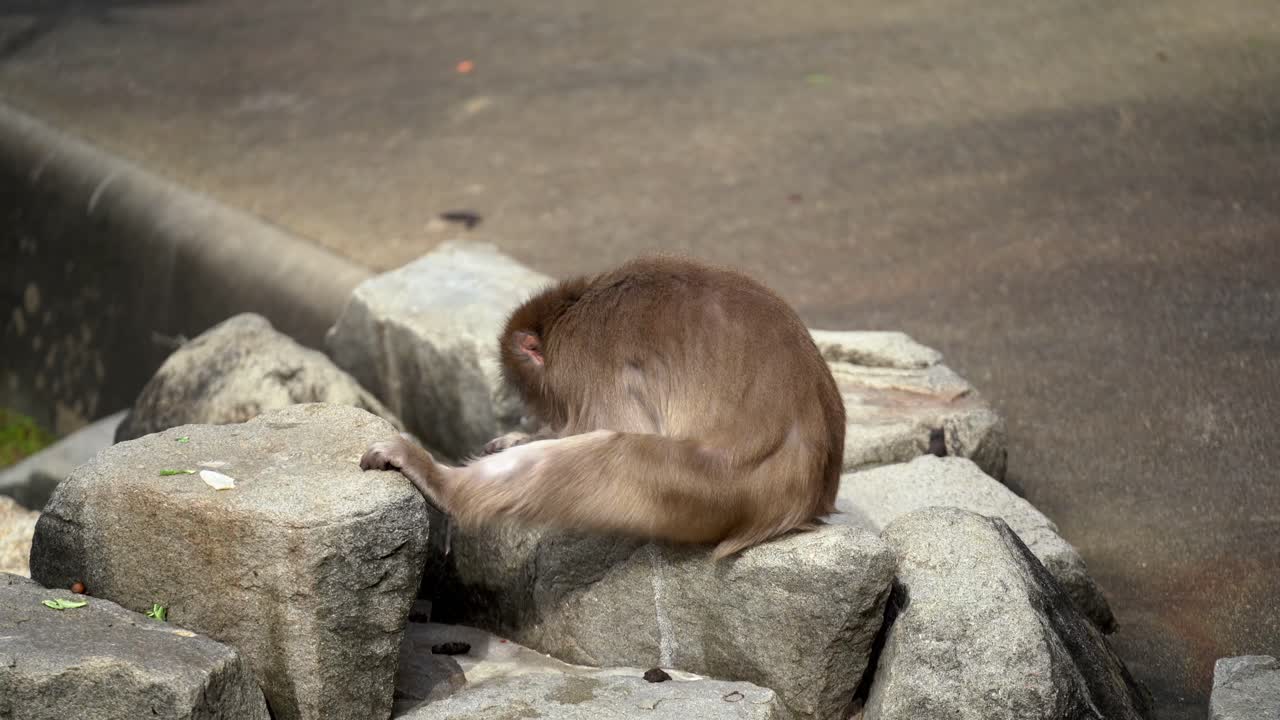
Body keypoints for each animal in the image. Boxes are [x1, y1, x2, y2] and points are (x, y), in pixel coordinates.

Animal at [360, 256, 846, 558]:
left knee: (615, 454)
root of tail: (806, 497)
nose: (539, 416)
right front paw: (519, 436)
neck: (570, 314)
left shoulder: (592, 366)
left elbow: (615, 425)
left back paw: (441, 483)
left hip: (715, 485)